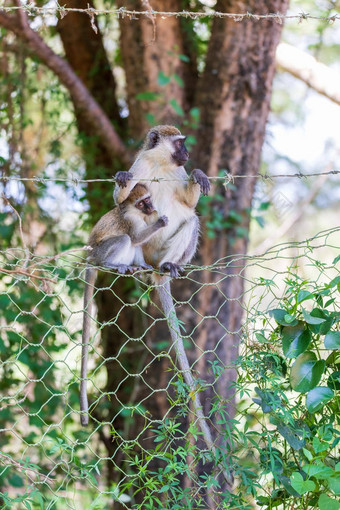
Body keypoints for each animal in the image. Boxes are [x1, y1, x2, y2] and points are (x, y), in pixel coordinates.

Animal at [81, 184, 169, 426]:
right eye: (141, 203)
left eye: (148, 199)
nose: (150, 207)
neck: (136, 212)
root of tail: (91, 258)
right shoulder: (132, 220)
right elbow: (135, 235)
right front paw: (160, 223)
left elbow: (139, 242)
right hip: (101, 252)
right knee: (124, 239)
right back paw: (110, 264)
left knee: (133, 245)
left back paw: (138, 267)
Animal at [113, 125, 219, 456]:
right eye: (179, 143)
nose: (188, 153)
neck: (161, 163)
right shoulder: (140, 165)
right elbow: (121, 201)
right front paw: (122, 181)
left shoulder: (178, 173)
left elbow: (189, 204)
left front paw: (199, 174)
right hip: (145, 248)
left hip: (168, 252)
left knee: (191, 220)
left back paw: (170, 265)